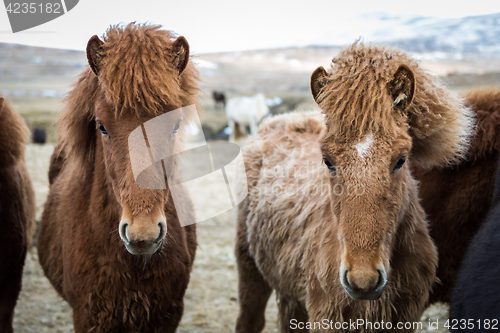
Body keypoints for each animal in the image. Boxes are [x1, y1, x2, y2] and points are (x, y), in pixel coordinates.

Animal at [234, 42, 472, 330]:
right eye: (327, 160)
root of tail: (278, 120)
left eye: (401, 159)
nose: (363, 280)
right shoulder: (327, 316)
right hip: (249, 269)